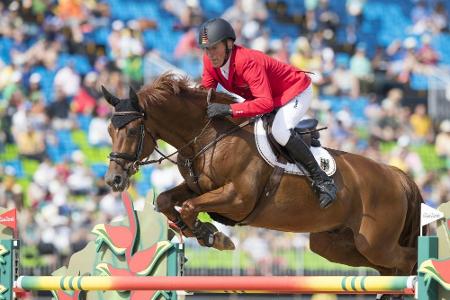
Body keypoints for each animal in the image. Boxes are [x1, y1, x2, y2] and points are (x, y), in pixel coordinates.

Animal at [102, 72, 422, 276]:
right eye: (108, 130)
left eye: (132, 131)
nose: (113, 180)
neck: (206, 136)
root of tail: (398, 176)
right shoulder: (197, 186)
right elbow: (167, 201)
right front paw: (203, 232)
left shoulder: (237, 198)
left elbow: (191, 207)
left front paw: (213, 235)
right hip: (335, 245)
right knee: (388, 268)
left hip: (375, 243)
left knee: (407, 259)